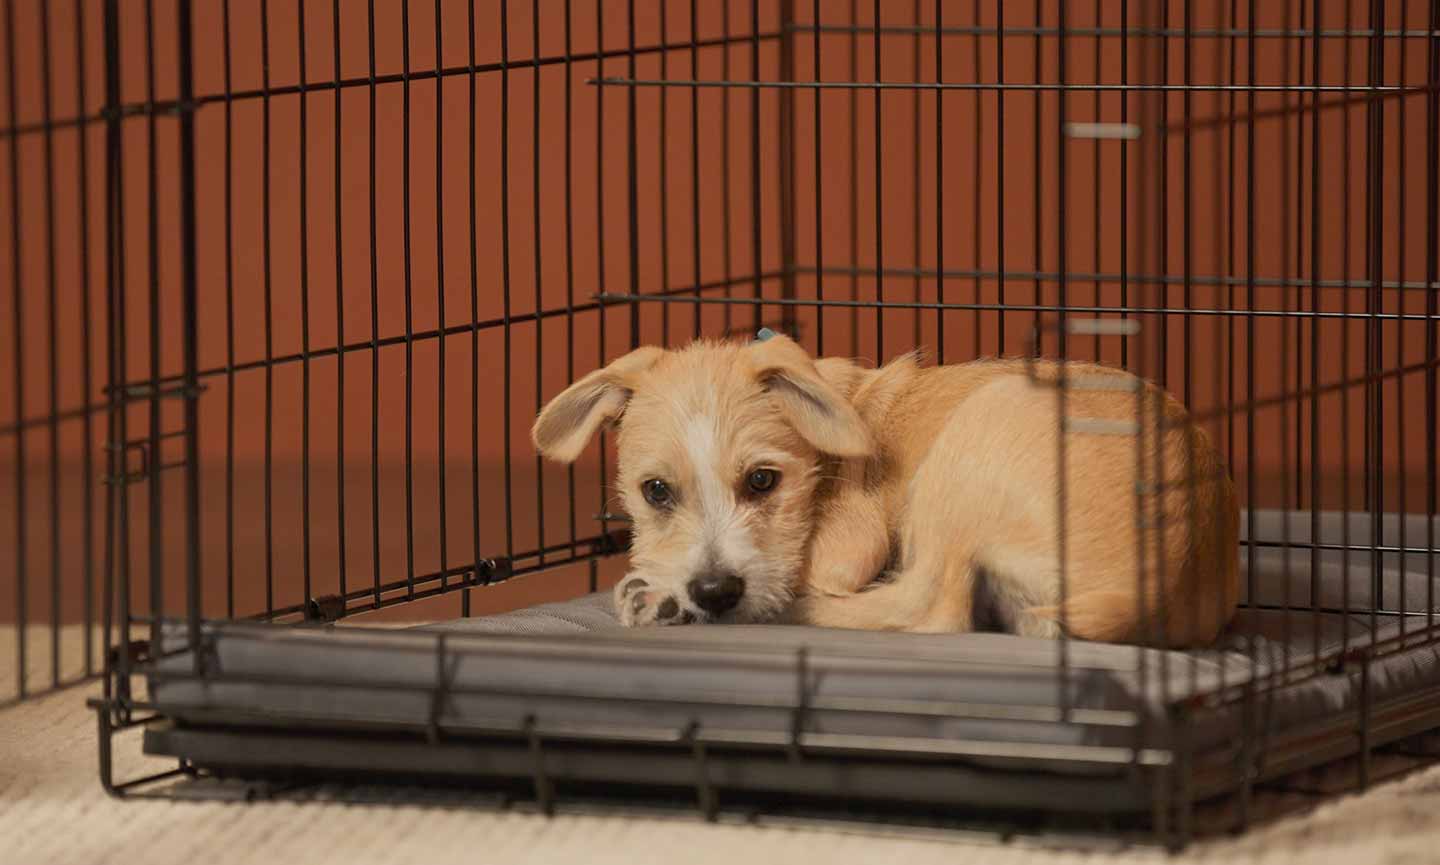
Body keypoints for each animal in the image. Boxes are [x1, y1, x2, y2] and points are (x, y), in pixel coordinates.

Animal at [535, 333, 1244, 644]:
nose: (711, 592)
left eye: (763, 481)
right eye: (655, 492)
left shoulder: (846, 551)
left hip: (972, 447)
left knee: (931, 612)